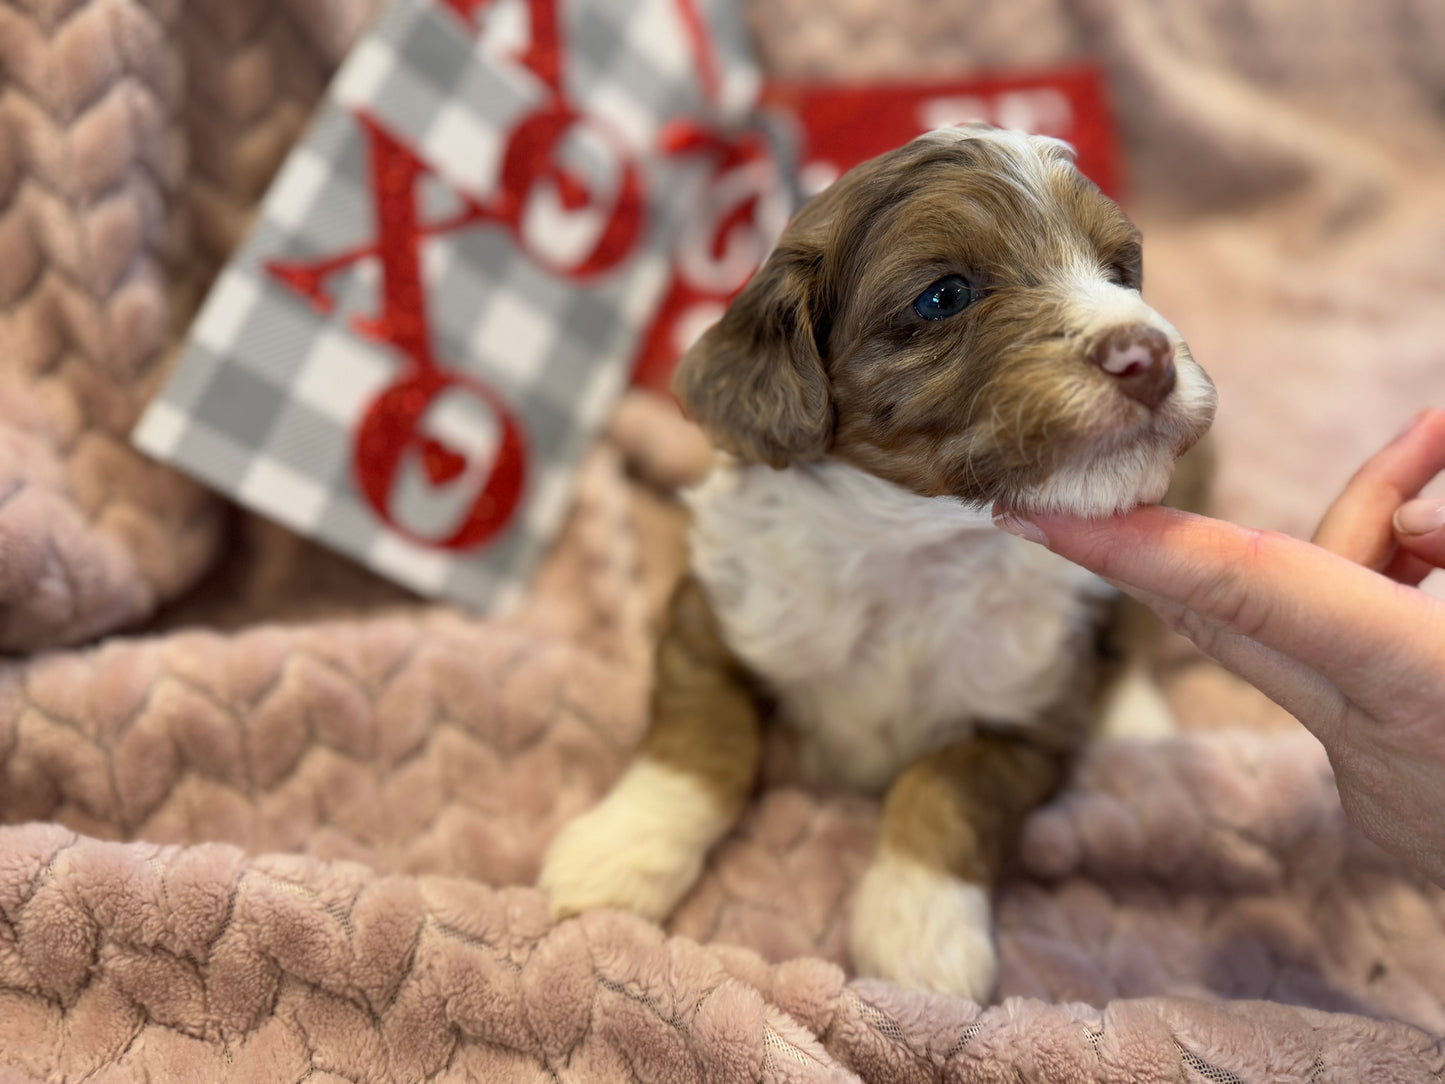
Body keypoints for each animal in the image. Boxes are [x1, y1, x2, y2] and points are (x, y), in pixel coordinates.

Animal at [537, 122, 1213, 1000]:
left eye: (1118, 273)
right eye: (944, 296)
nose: (1147, 353)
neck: (913, 549)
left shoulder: (1032, 716)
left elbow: (945, 785)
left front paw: (919, 937)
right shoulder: (711, 614)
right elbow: (700, 735)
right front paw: (618, 855)